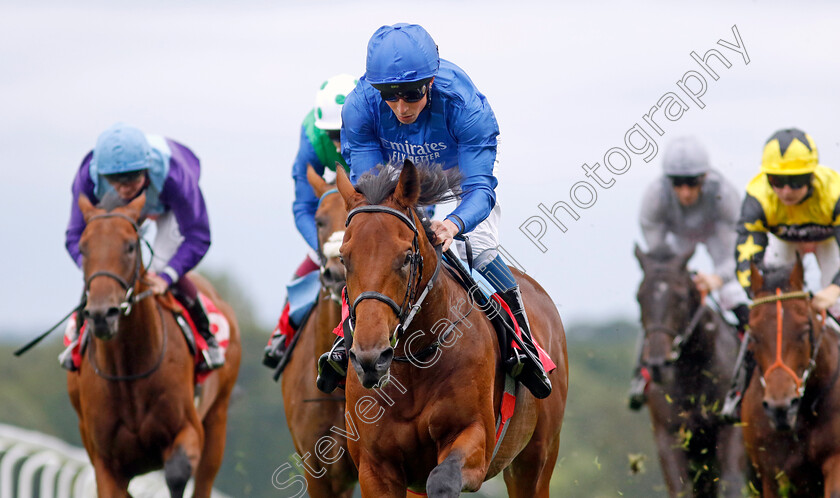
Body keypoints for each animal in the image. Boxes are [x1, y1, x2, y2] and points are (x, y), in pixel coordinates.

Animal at [67, 193, 241, 496]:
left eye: (130, 246)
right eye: (83, 247)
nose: (102, 315)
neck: (128, 373)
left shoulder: (188, 431)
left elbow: (178, 473)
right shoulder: (105, 462)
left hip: (217, 420)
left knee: (204, 479)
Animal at [332, 161, 568, 496]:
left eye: (407, 257)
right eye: (344, 257)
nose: (371, 359)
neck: (414, 364)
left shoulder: (475, 439)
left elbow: (443, 479)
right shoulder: (375, 468)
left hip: (535, 460)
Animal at [636, 246, 748, 498]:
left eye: (680, 297)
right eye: (639, 297)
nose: (658, 364)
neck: (693, 376)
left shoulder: (730, 428)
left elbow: (731, 483)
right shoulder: (669, 436)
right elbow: (681, 489)